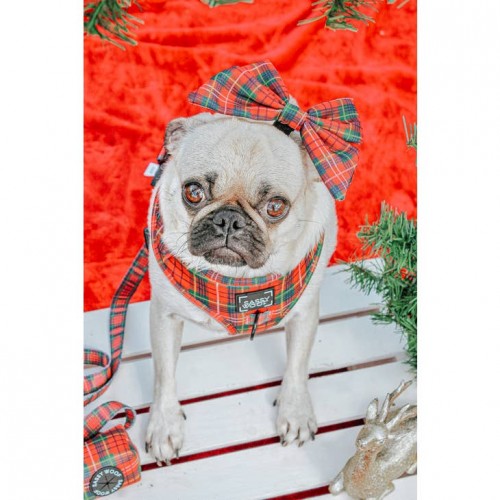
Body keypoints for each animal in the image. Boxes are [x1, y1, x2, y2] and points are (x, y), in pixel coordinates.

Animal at [144, 111, 338, 464]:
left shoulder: (305, 313)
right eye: (193, 192)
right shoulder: (164, 315)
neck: (232, 279)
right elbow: (164, 375)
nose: (229, 220)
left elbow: (298, 365)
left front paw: (295, 410)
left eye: (276, 207)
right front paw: (165, 424)